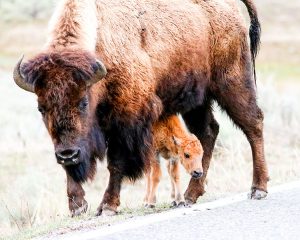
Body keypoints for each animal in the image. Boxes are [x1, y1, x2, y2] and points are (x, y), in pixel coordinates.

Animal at [12, 0, 268, 216]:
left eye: (83, 102)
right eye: (41, 108)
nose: (67, 153)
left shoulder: (126, 120)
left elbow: (116, 163)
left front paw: (107, 206)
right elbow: (72, 167)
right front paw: (77, 206)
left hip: (232, 83)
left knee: (253, 124)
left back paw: (258, 188)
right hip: (197, 99)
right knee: (207, 132)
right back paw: (190, 195)